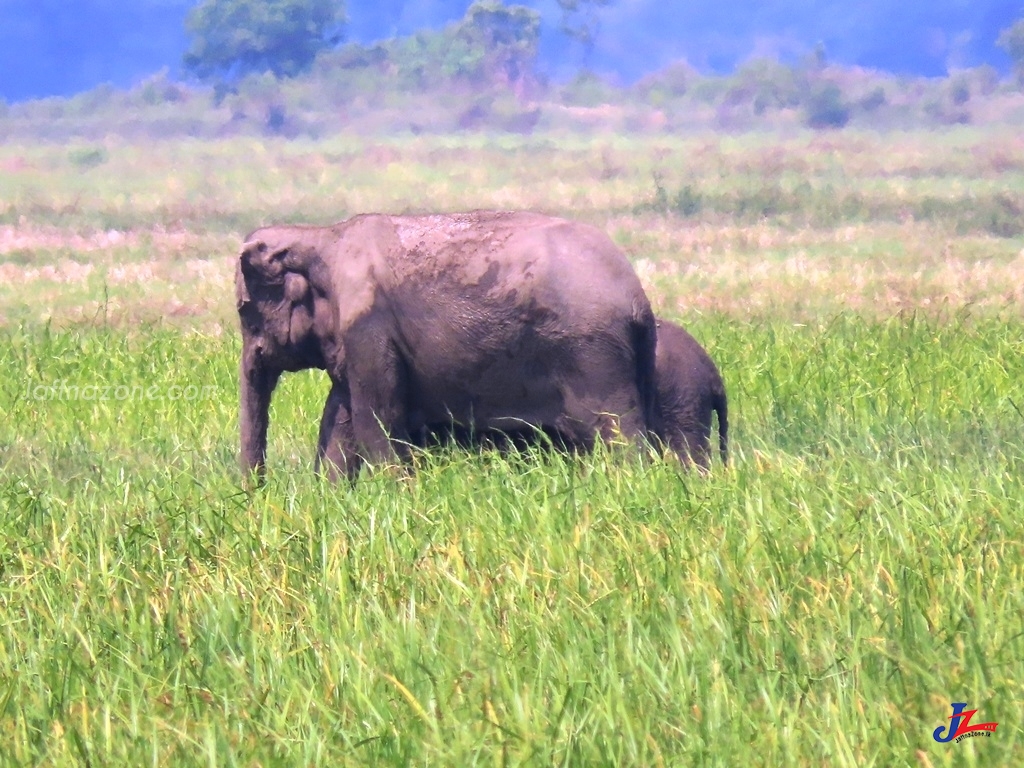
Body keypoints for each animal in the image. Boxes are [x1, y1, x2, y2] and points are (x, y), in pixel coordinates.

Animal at [236, 210, 659, 481]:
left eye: (245, 314)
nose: (257, 497)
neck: (324, 236)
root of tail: (637, 296)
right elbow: (341, 413)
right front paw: (331, 494)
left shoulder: (368, 325)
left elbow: (377, 418)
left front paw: (395, 493)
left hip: (593, 355)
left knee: (617, 432)